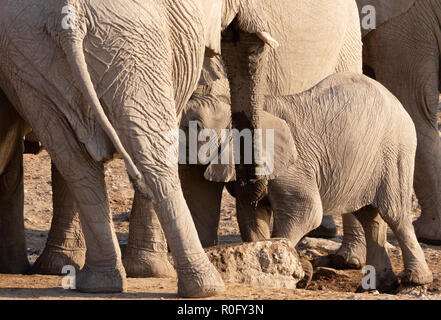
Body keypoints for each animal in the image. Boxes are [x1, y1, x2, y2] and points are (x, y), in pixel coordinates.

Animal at [0, 0, 276, 298]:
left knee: (77, 165)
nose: (247, 184)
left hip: (29, 60)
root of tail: (69, 18)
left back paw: (99, 284)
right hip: (130, 45)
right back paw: (206, 287)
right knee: (154, 162)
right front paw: (150, 272)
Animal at [264, 72, 434, 292]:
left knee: (394, 213)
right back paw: (380, 285)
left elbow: (304, 212)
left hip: (396, 151)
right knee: (369, 216)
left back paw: (415, 280)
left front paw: (293, 275)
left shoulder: (293, 164)